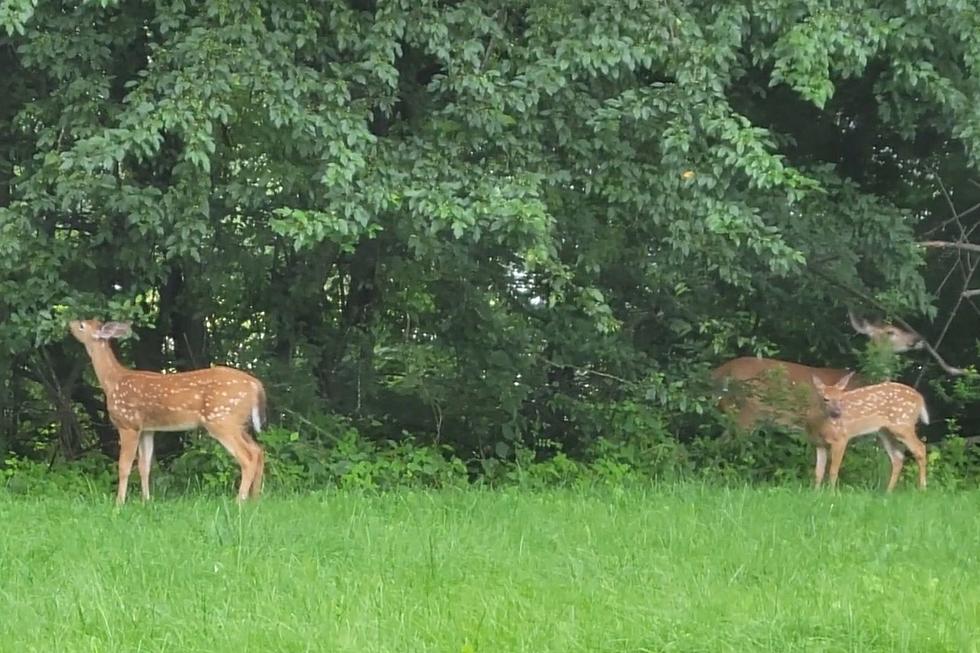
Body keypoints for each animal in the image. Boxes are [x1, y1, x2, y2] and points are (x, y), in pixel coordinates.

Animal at [67, 320, 268, 504]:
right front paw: (146, 500)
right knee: (258, 450)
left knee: (248, 457)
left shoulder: (128, 424)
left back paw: (239, 501)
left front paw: (119, 503)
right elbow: (145, 466)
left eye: (82, 325)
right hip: (238, 423)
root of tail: (255, 385)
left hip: (222, 419)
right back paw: (255, 499)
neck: (112, 381)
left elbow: (124, 466)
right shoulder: (147, 429)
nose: (70, 323)